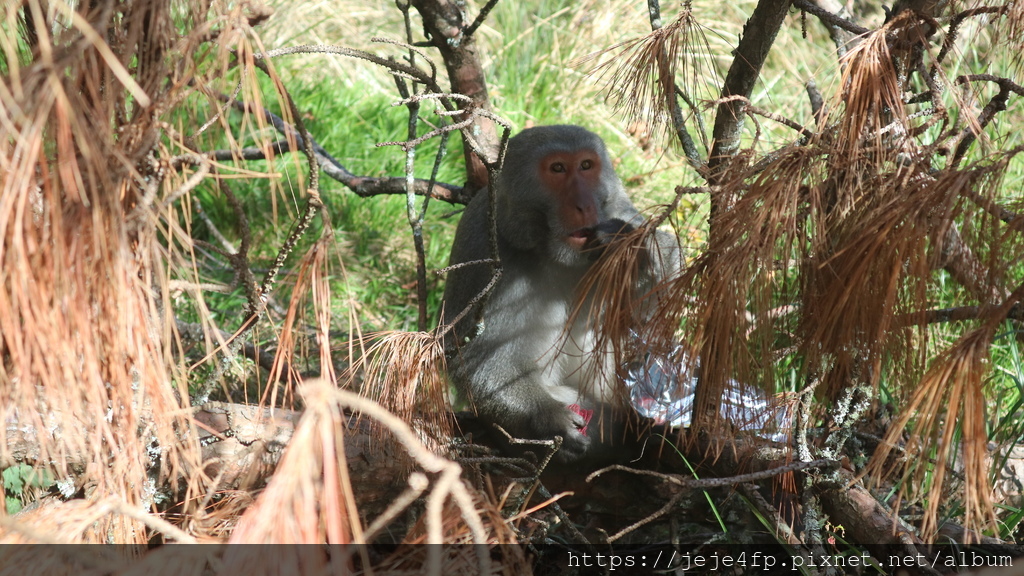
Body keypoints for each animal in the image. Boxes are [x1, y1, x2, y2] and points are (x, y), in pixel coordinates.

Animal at [440, 125, 679, 461]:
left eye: (586, 166)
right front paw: (547, 417)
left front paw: (638, 253)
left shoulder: (626, 213)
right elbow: (473, 356)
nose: (584, 205)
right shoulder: (482, 247)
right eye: (557, 169)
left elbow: (649, 326)